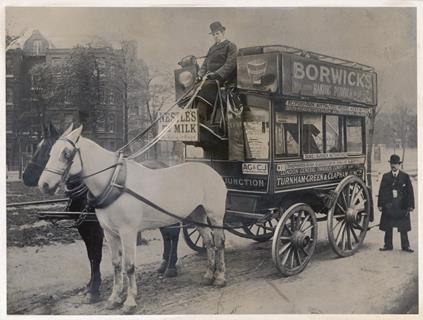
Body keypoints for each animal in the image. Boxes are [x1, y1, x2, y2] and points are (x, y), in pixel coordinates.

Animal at [38, 125, 227, 312]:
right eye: (50, 152)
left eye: (66, 153)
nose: (44, 185)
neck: (114, 182)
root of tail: (212, 171)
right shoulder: (109, 232)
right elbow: (115, 264)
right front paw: (114, 298)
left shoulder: (127, 232)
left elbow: (128, 265)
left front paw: (129, 301)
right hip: (197, 215)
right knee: (208, 241)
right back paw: (208, 275)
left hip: (215, 216)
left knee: (218, 242)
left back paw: (219, 277)